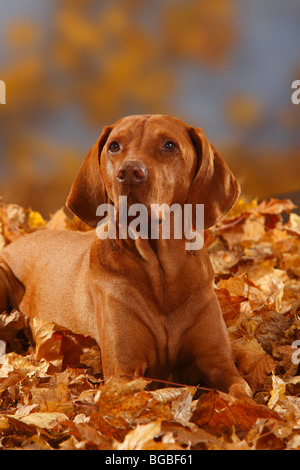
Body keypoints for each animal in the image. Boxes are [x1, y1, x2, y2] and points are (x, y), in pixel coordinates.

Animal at [0, 114, 251, 396]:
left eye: (169, 145)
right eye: (114, 146)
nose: (129, 172)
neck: (161, 273)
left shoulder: (221, 365)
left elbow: (242, 395)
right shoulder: (123, 372)